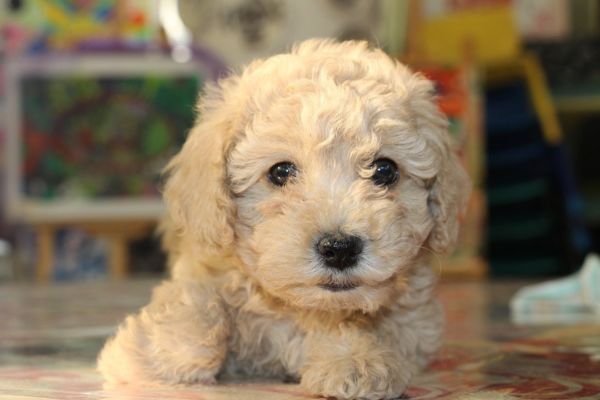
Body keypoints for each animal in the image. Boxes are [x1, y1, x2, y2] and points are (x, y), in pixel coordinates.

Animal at [98, 38, 472, 400]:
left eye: (385, 170)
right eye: (280, 172)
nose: (339, 248)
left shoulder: (414, 323)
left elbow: (353, 324)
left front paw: (355, 359)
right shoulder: (203, 261)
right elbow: (196, 307)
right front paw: (156, 350)